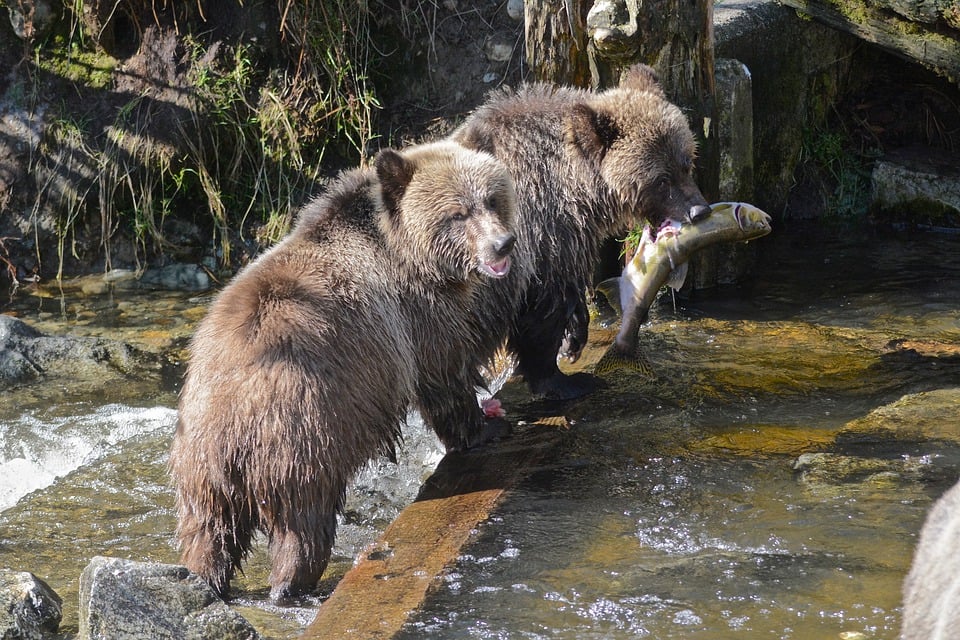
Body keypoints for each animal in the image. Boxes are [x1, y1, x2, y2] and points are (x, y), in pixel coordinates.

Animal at [171, 139, 516, 600]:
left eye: (493, 199)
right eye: (457, 213)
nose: (502, 244)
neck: (404, 250)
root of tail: (231, 415)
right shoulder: (415, 316)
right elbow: (443, 376)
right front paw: (486, 426)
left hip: (200, 462)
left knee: (208, 530)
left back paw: (205, 579)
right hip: (302, 433)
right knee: (305, 520)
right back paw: (292, 584)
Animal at [452, 62, 712, 398]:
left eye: (686, 162)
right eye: (662, 179)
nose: (699, 210)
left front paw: (574, 339)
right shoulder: (543, 234)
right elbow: (544, 308)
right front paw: (563, 378)